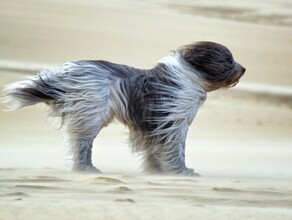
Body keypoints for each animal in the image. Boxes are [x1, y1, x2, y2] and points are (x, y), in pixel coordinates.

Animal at [2, 40, 244, 175]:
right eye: (229, 59)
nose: (244, 69)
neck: (189, 76)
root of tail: (68, 71)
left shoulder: (153, 123)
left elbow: (153, 150)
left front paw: (156, 171)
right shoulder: (172, 121)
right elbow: (174, 149)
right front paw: (181, 172)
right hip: (91, 113)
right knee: (80, 143)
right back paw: (84, 168)